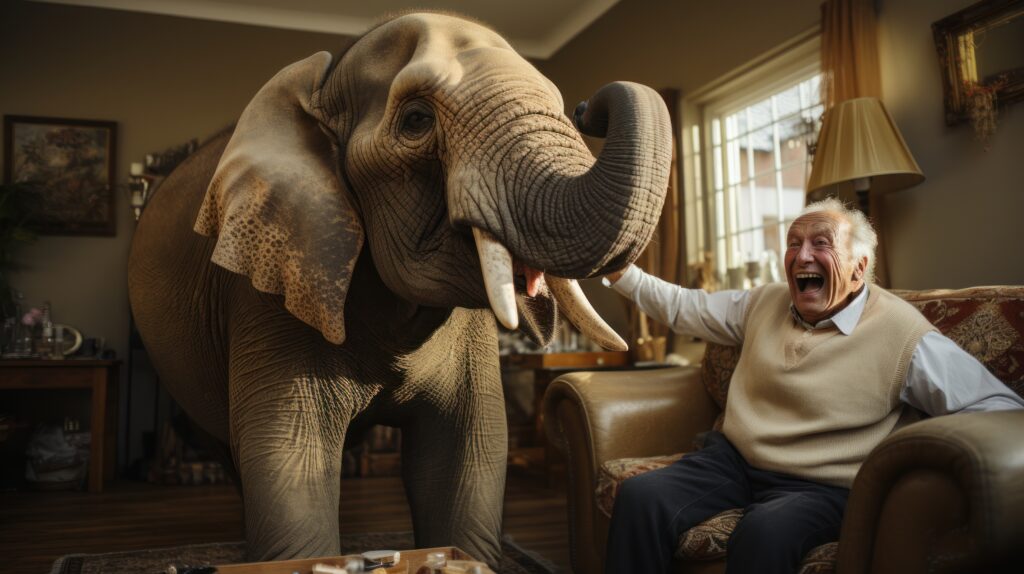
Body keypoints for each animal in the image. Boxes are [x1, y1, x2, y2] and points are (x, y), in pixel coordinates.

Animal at [127, 11, 671, 566]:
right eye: (415, 121)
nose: (587, 108)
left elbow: (465, 453)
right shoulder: (271, 284)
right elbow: (290, 455)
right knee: (230, 447)